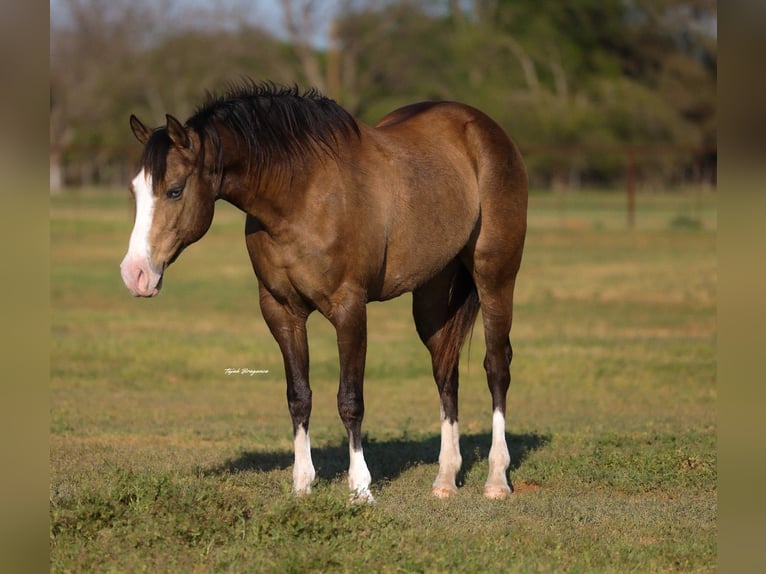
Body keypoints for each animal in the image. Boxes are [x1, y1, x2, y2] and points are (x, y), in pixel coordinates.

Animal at [120, 81, 527, 502]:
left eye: (174, 191)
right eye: (135, 192)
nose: (135, 274)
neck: (301, 195)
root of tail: (484, 128)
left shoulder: (349, 309)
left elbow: (350, 400)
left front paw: (361, 488)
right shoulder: (281, 311)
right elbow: (299, 397)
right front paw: (302, 484)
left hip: (495, 276)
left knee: (497, 367)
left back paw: (496, 479)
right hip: (431, 296)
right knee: (445, 369)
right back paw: (445, 479)